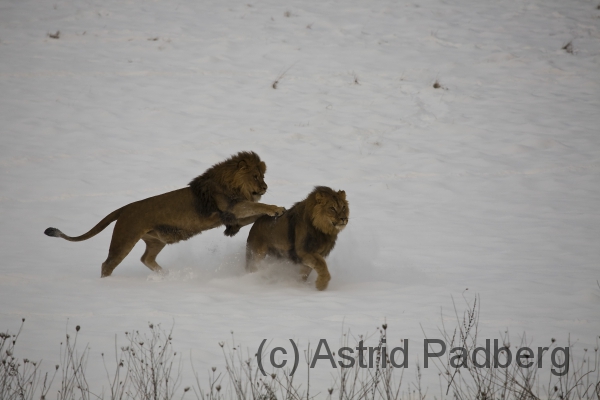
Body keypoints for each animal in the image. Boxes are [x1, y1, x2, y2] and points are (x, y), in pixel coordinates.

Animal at [44, 152, 286, 276]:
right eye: (256, 176)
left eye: (262, 176)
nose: (265, 187)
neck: (233, 185)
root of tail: (124, 208)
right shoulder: (233, 208)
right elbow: (257, 207)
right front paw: (276, 208)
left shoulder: (232, 215)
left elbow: (254, 215)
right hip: (124, 240)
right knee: (108, 264)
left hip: (155, 241)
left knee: (146, 258)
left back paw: (165, 275)